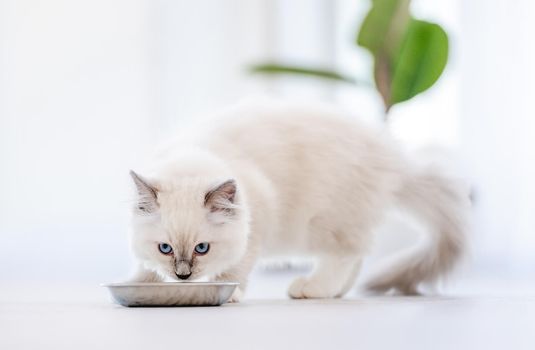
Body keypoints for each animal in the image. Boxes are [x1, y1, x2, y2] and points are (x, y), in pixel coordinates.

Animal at [129, 99, 468, 300]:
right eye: (165, 248)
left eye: (202, 249)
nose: (182, 276)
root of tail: (393, 158)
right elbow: (144, 269)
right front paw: (142, 283)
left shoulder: (258, 222)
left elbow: (235, 271)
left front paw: (231, 293)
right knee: (357, 258)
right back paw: (337, 292)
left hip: (324, 224)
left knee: (346, 255)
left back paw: (312, 289)